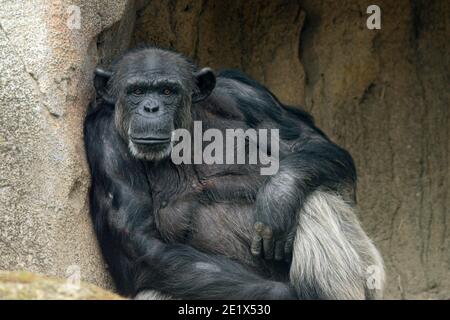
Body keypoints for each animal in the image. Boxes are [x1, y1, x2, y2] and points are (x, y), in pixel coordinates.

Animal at [85, 47, 386, 300]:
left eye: (168, 91)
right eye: (135, 91)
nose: (151, 107)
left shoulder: (244, 94)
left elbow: (309, 142)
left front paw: (278, 198)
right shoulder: (105, 139)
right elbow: (141, 241)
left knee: (313, 198)